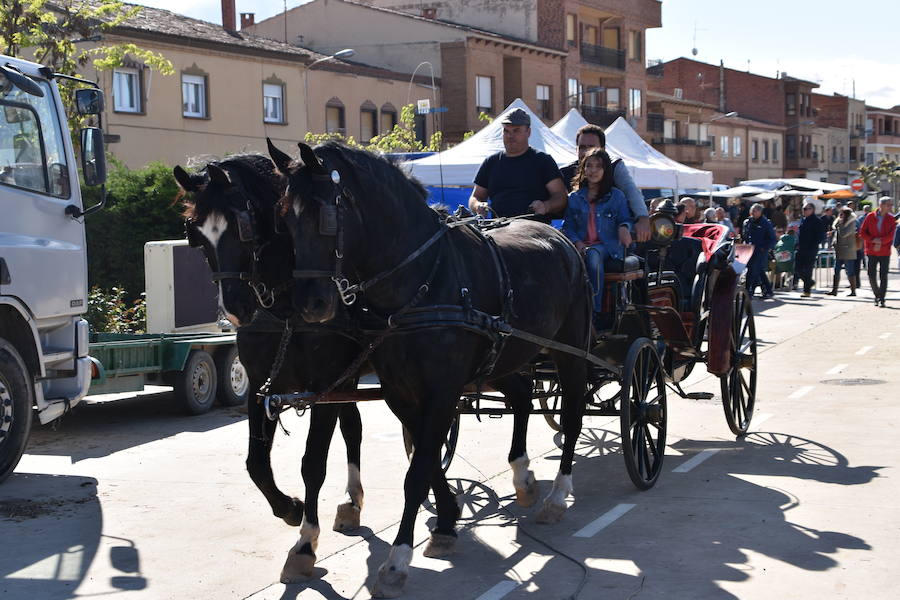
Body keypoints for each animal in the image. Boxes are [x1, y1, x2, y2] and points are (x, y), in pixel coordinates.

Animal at [174, 156, 368, 580]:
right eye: (197, 234)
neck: (285, 308)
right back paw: (352, 502)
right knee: (354, 427)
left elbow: (312, 464)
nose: (235, 308)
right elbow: (256, 464)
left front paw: (306, 543)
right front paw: (289, 509)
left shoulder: (325, 387)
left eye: (242, 225)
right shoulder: (262, 387)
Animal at [268, 138, 592, 596]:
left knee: (574, 413)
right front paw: (448, 519)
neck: (421, 281)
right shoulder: (400, 391)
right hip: (506, 356)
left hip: (570, 350)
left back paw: (558, 494)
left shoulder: (442, 390)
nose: (310, 304)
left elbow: (418, 470)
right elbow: (425, 457)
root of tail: (560, 238)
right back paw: (522, 475)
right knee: (522, 397)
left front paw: (398, 558)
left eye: (325, 214)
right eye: (285, 219)